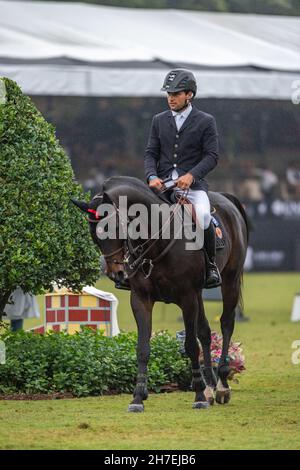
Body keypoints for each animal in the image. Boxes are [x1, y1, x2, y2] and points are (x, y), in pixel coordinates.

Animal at [73, 176, 248, 412]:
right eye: (94, 234)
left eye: (115, 227)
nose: (116, 273)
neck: (158, 241)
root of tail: (226, 198)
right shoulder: (141, 299)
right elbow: (143, 348)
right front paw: (138, 397)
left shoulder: (187, 297)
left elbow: (190, 346)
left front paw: (198, 396)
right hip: (199, 293)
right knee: (205, 332)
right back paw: (210, 387)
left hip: (230, 280)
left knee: (226, 324)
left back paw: (220, 386)